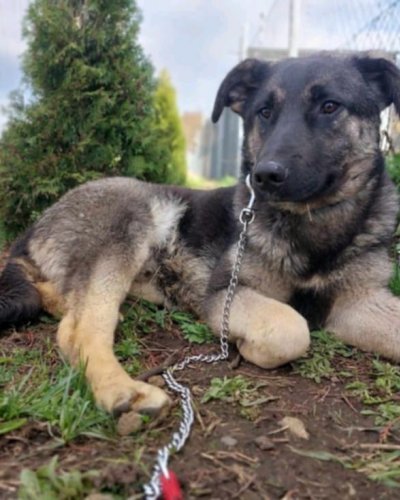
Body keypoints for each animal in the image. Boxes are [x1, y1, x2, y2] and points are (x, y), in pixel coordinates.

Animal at [1, 52, 400, 418]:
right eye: (264, 112)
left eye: (330, 106)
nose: (265, 176)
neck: (316, 226)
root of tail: (39, 222)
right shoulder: (224, 294)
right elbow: (290, 327)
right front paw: (249, 346)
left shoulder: (360, 301)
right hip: (128, 220)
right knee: (77, 330)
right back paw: (122, 391)